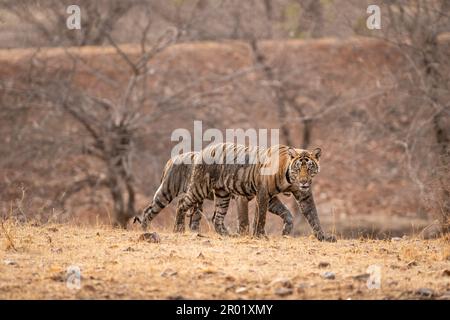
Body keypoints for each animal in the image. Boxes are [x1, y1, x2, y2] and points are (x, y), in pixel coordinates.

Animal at [135, 150, 294, 235]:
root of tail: (172, 159)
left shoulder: (268, 197)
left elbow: (284, 211)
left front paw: (286, 229)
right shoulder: (242, 198)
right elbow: (244, 219)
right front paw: (243, 234)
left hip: (197, 200)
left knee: (194, 217)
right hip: (167, 192)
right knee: (150, 210)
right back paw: (145, 229)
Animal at [165, 142, 334, 240]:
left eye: (310, 168)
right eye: (298, 168)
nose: (304, 181)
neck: (289, 180)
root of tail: (204, 150)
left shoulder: (302, 196)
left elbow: (312, 216)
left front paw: (322, 236)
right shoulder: (263, 193)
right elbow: (260, 217)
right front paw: (259, 235)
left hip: (222, 195)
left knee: (217, 218)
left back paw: (228, 235)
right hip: (200, 187)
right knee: (182, 203)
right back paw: (178, 229)